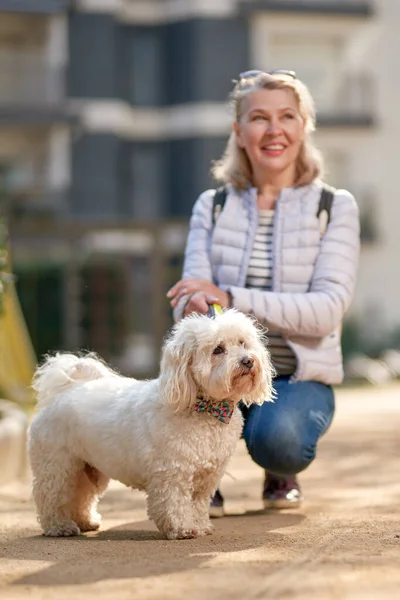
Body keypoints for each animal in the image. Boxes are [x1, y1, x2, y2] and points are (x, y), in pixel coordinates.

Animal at [27, 310, 272, 540]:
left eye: (242, 343)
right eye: (218, 350)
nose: (248, 360)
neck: (204, 409)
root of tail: (65, 391)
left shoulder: (207, 478)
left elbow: (198, 505)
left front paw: (200, 526)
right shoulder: (172, 473)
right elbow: (174, 504)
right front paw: (182, 529)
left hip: (89, 469)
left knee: (81, 496)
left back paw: (86, 522)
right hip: (58, 467)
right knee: (51, 497)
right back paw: (59, 526)